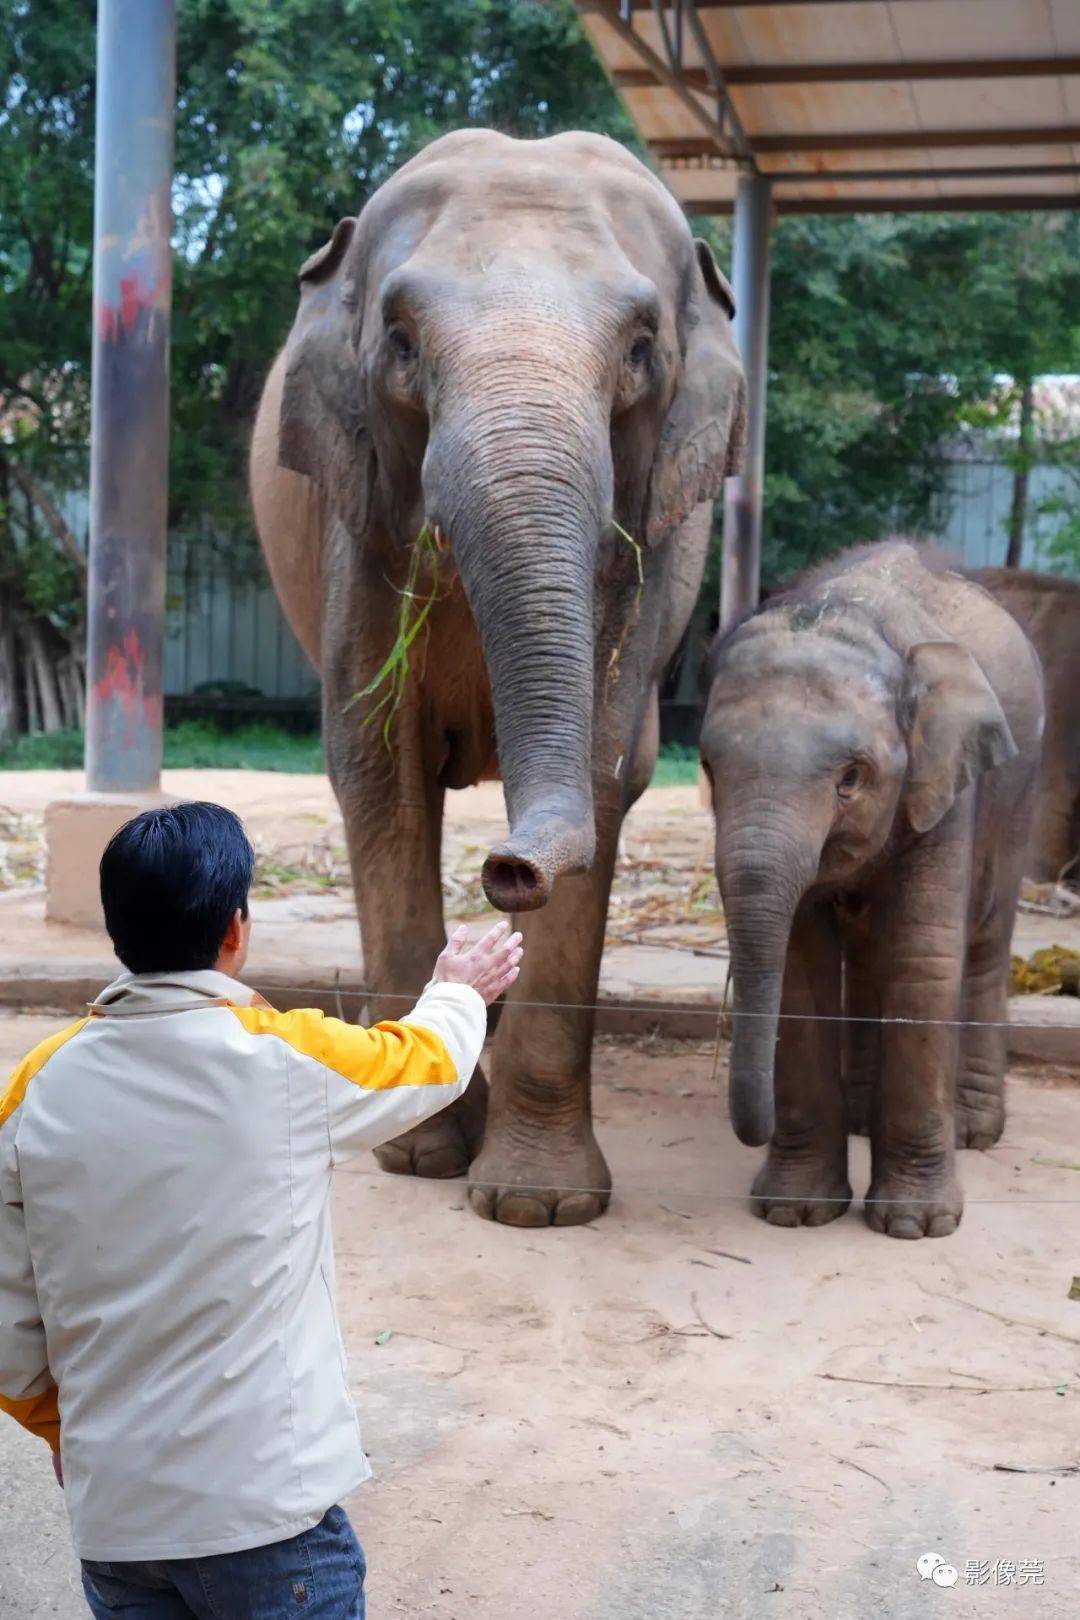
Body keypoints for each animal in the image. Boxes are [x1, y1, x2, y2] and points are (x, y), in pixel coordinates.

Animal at [250, 129, 747, 1226]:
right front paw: (421, 1154)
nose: (510, 869)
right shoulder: (357, 522)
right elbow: (379, 766)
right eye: (399, 339)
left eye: (641, 347)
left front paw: (536, 1205)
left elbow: (603, 771)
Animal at [700, 542, 1043, 1239]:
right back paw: (862, 1118)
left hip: (1018, 793)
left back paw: (973, 1132)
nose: (754, 1127)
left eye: (852, 778)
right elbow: (800, 967)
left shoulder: (947, 785)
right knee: (864, 957)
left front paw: (917, 1227)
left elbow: (921, 960)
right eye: (708, 770)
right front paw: (795, 1212)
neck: (854, 614)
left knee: (985, 939)